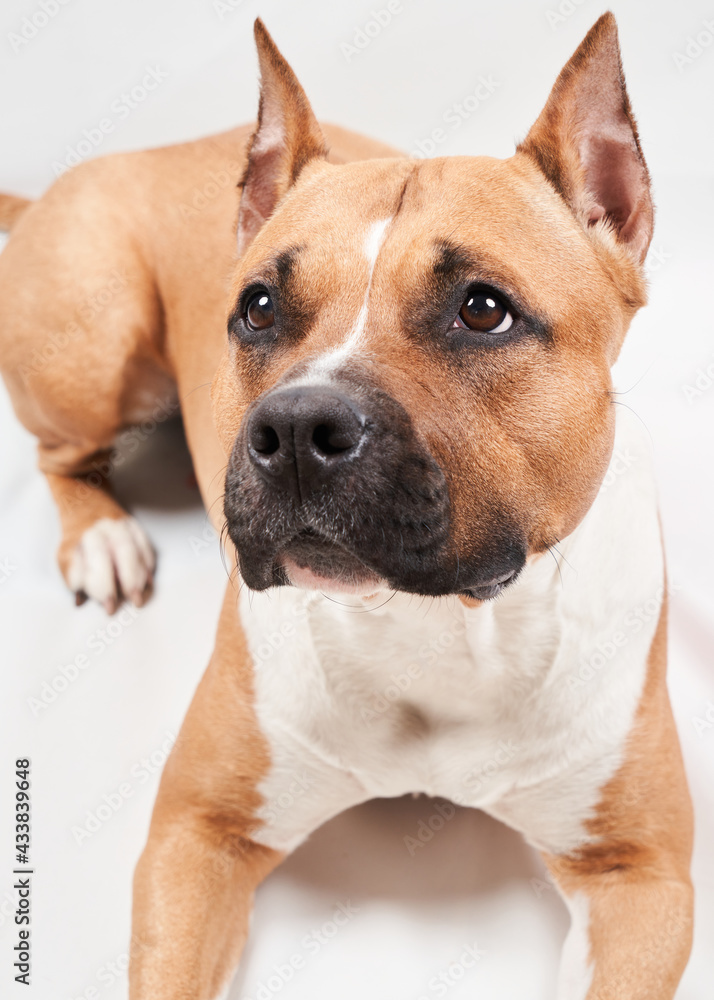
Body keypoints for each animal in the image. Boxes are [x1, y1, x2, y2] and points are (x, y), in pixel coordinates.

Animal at [0, 13, 688, 1000]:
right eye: (256, 307)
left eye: (484, 310)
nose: (294, 426)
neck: (437, 630)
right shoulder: (197, 833)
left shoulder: (642, 873)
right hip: (94, 336)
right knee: (60, 454)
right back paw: (102, 537)